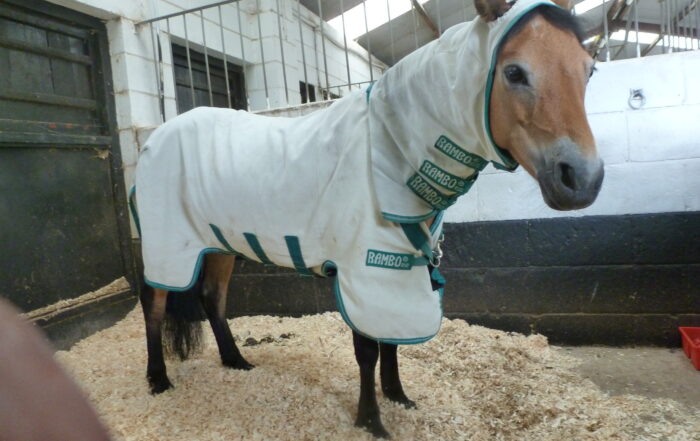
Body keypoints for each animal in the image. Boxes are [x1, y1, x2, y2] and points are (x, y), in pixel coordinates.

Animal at [130, 0, 604, 437]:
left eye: (589, 70)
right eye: (514, 72)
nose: (582, 179)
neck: (388, 150)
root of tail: (155, 137)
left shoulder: (399, 267)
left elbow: (392, 341)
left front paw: (398, 396)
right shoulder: (363, 268)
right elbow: (368, 351)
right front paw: (371, 420)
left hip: (218, 243)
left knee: (212, 298)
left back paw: (236, 361)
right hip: (168, 245)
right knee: (154, 304)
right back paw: (158, 380)